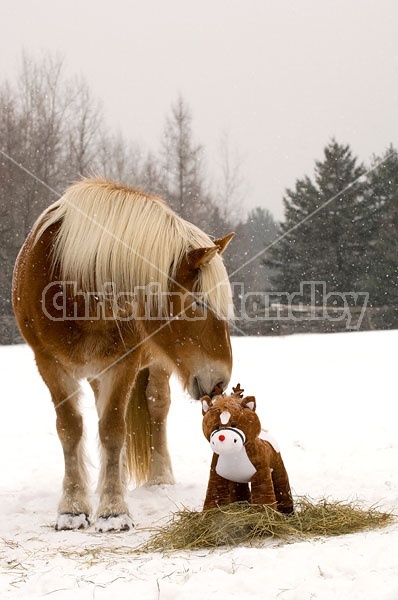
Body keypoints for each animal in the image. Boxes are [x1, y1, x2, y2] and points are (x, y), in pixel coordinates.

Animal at [14, 177, 235, 528]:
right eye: (199, 303)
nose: (221, 381)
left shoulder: (123, 364)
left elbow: (113, 429)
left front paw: (113, 511)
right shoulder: (48, 364)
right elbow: (70, 428)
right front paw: (72, 508)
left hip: (155, 366)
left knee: (157, 407)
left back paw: (159, 478)